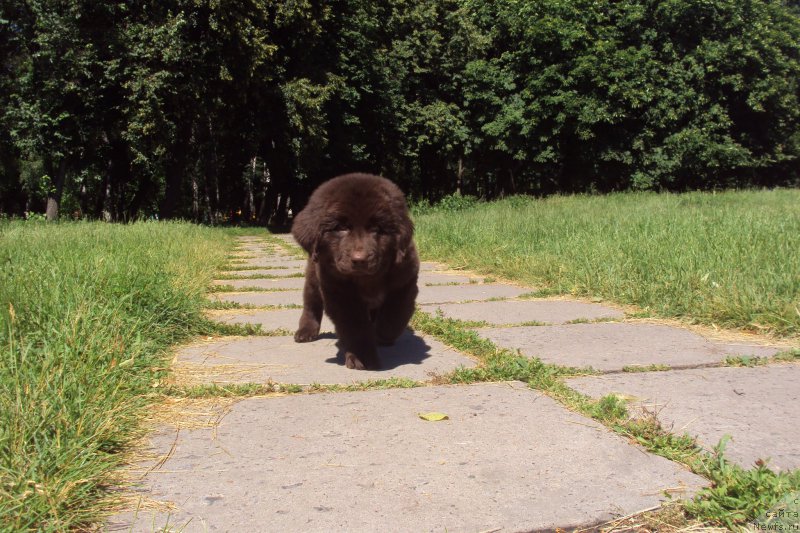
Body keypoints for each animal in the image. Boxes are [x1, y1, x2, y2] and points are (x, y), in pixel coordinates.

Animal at [292, 172, 418, 368]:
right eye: (341, 228)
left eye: (376, 229)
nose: (360, 260)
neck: (367, 280)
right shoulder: (339, 292)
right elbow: (355, 327)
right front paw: (363, 357)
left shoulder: (405, 280)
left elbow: (395, 314)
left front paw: (382, 334)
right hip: (313, 276)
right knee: (311, 303)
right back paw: (306, 331)